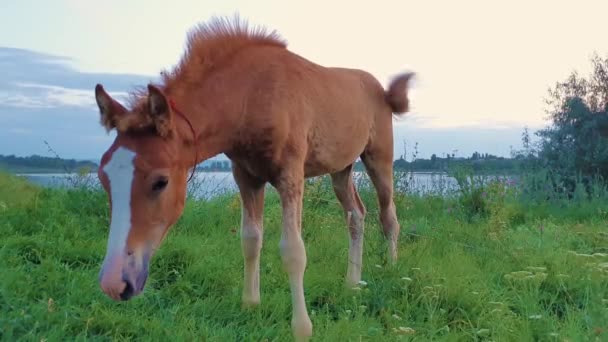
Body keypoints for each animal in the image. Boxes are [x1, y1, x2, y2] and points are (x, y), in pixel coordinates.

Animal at [94, 17, 414, 340]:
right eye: (103, 178)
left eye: (161, 181)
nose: (115, 283)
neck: (250, 98)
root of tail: (384, 93)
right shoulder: (246, 176)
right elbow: (250, 239)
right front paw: (250, 304)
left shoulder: (291, 175)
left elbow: (293, 250)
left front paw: (302, 328)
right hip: (341, 168)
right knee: (356, 214)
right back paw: (353, 283)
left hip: (378, 159)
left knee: (388, 216)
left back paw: (391, 269)